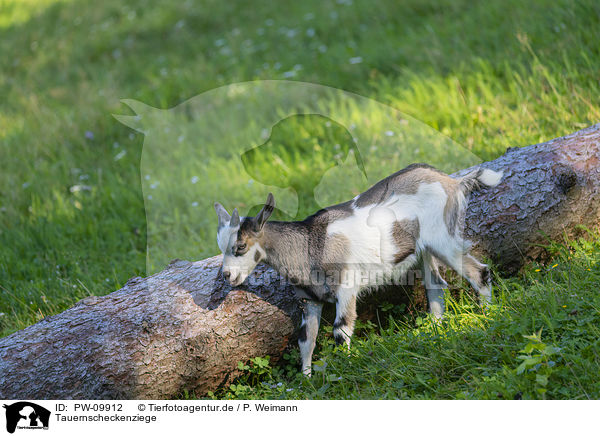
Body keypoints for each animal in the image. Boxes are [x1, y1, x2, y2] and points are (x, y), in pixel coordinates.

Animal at [214, 164, 502, 374]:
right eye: (220, 246)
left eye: (240, 246)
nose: (228, 276)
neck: (310, 244)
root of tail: (452, 182)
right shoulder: (310, 298)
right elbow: (306, 339)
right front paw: (306, 380)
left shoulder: (346, 288)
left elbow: (340, 331)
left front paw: (347, 368)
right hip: (424, 251)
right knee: (436, 287)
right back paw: (435, 332)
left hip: (443, 238)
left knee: (479, 273)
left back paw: (489, 319)